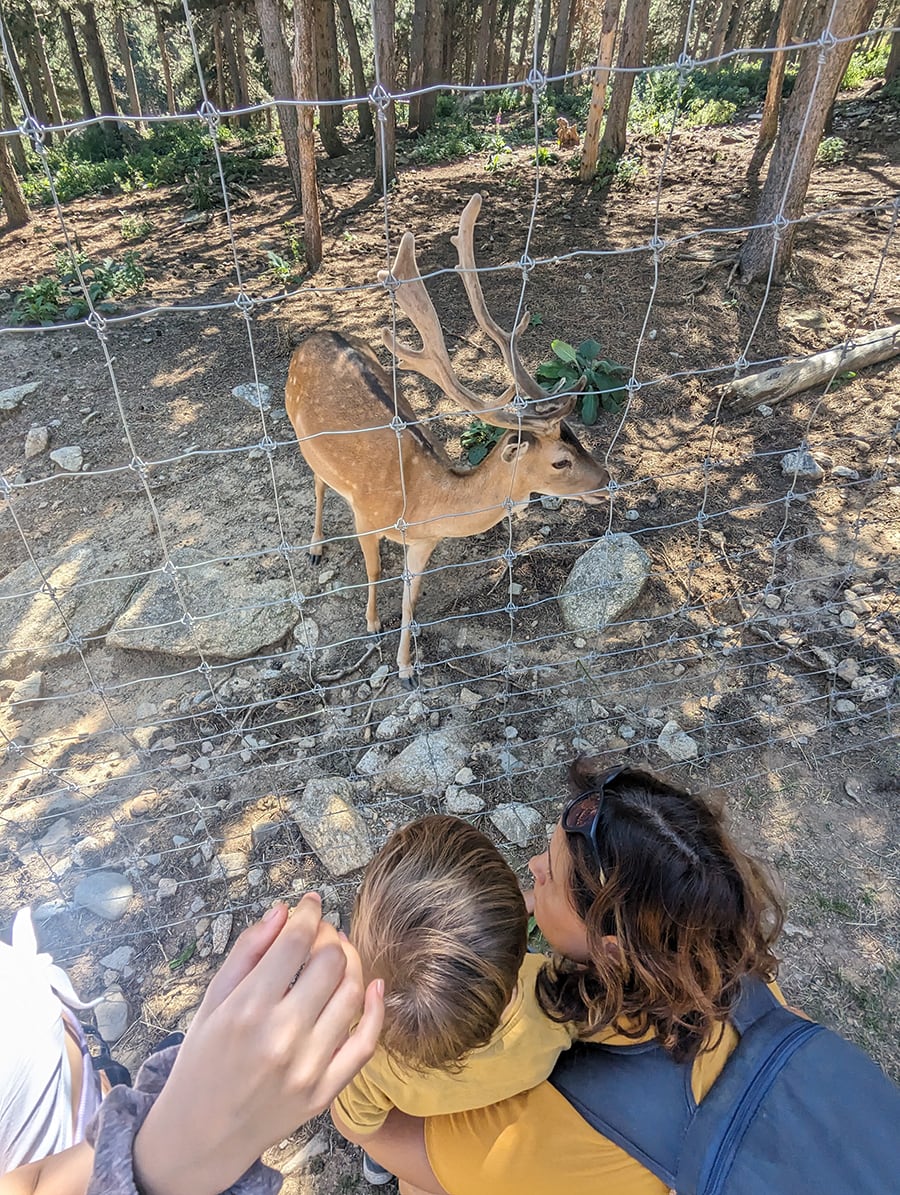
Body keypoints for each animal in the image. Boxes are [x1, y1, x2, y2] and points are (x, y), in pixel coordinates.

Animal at [284, 193, 609, 687]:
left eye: (578, 439)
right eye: (560, 461)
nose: (607, 481)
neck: (420, 500)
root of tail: (316, 333)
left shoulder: (425, 541)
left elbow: (412, 596)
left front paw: (406, 667)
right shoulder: (366, 516)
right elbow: (374, 569)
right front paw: (371, 623)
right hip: (297, 427)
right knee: (318, 482)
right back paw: (316, 548)